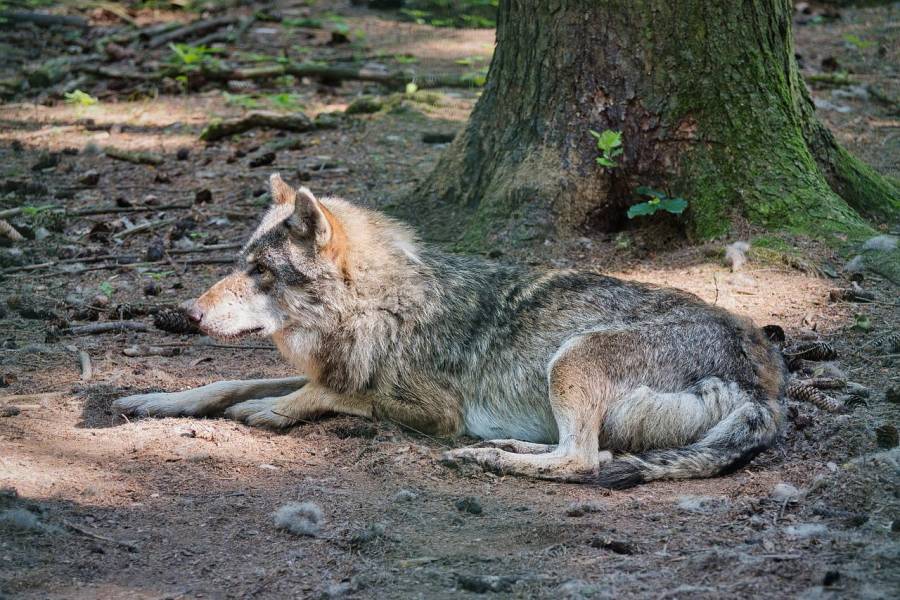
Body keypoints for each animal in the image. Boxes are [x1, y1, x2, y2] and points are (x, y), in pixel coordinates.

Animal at [114, 173, 788, 488]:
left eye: (260, 272)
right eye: (238, 264)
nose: (189, 313)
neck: (377, 307)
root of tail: (764, 382)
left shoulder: (427, 409)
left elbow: (323, 392)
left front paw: (276, 412)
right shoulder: (331, 364)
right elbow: (225, 384)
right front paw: (153, 399)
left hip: (571, 359)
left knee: (581, 462)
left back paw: (484, 457)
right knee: (588, 452)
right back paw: (506, 447)